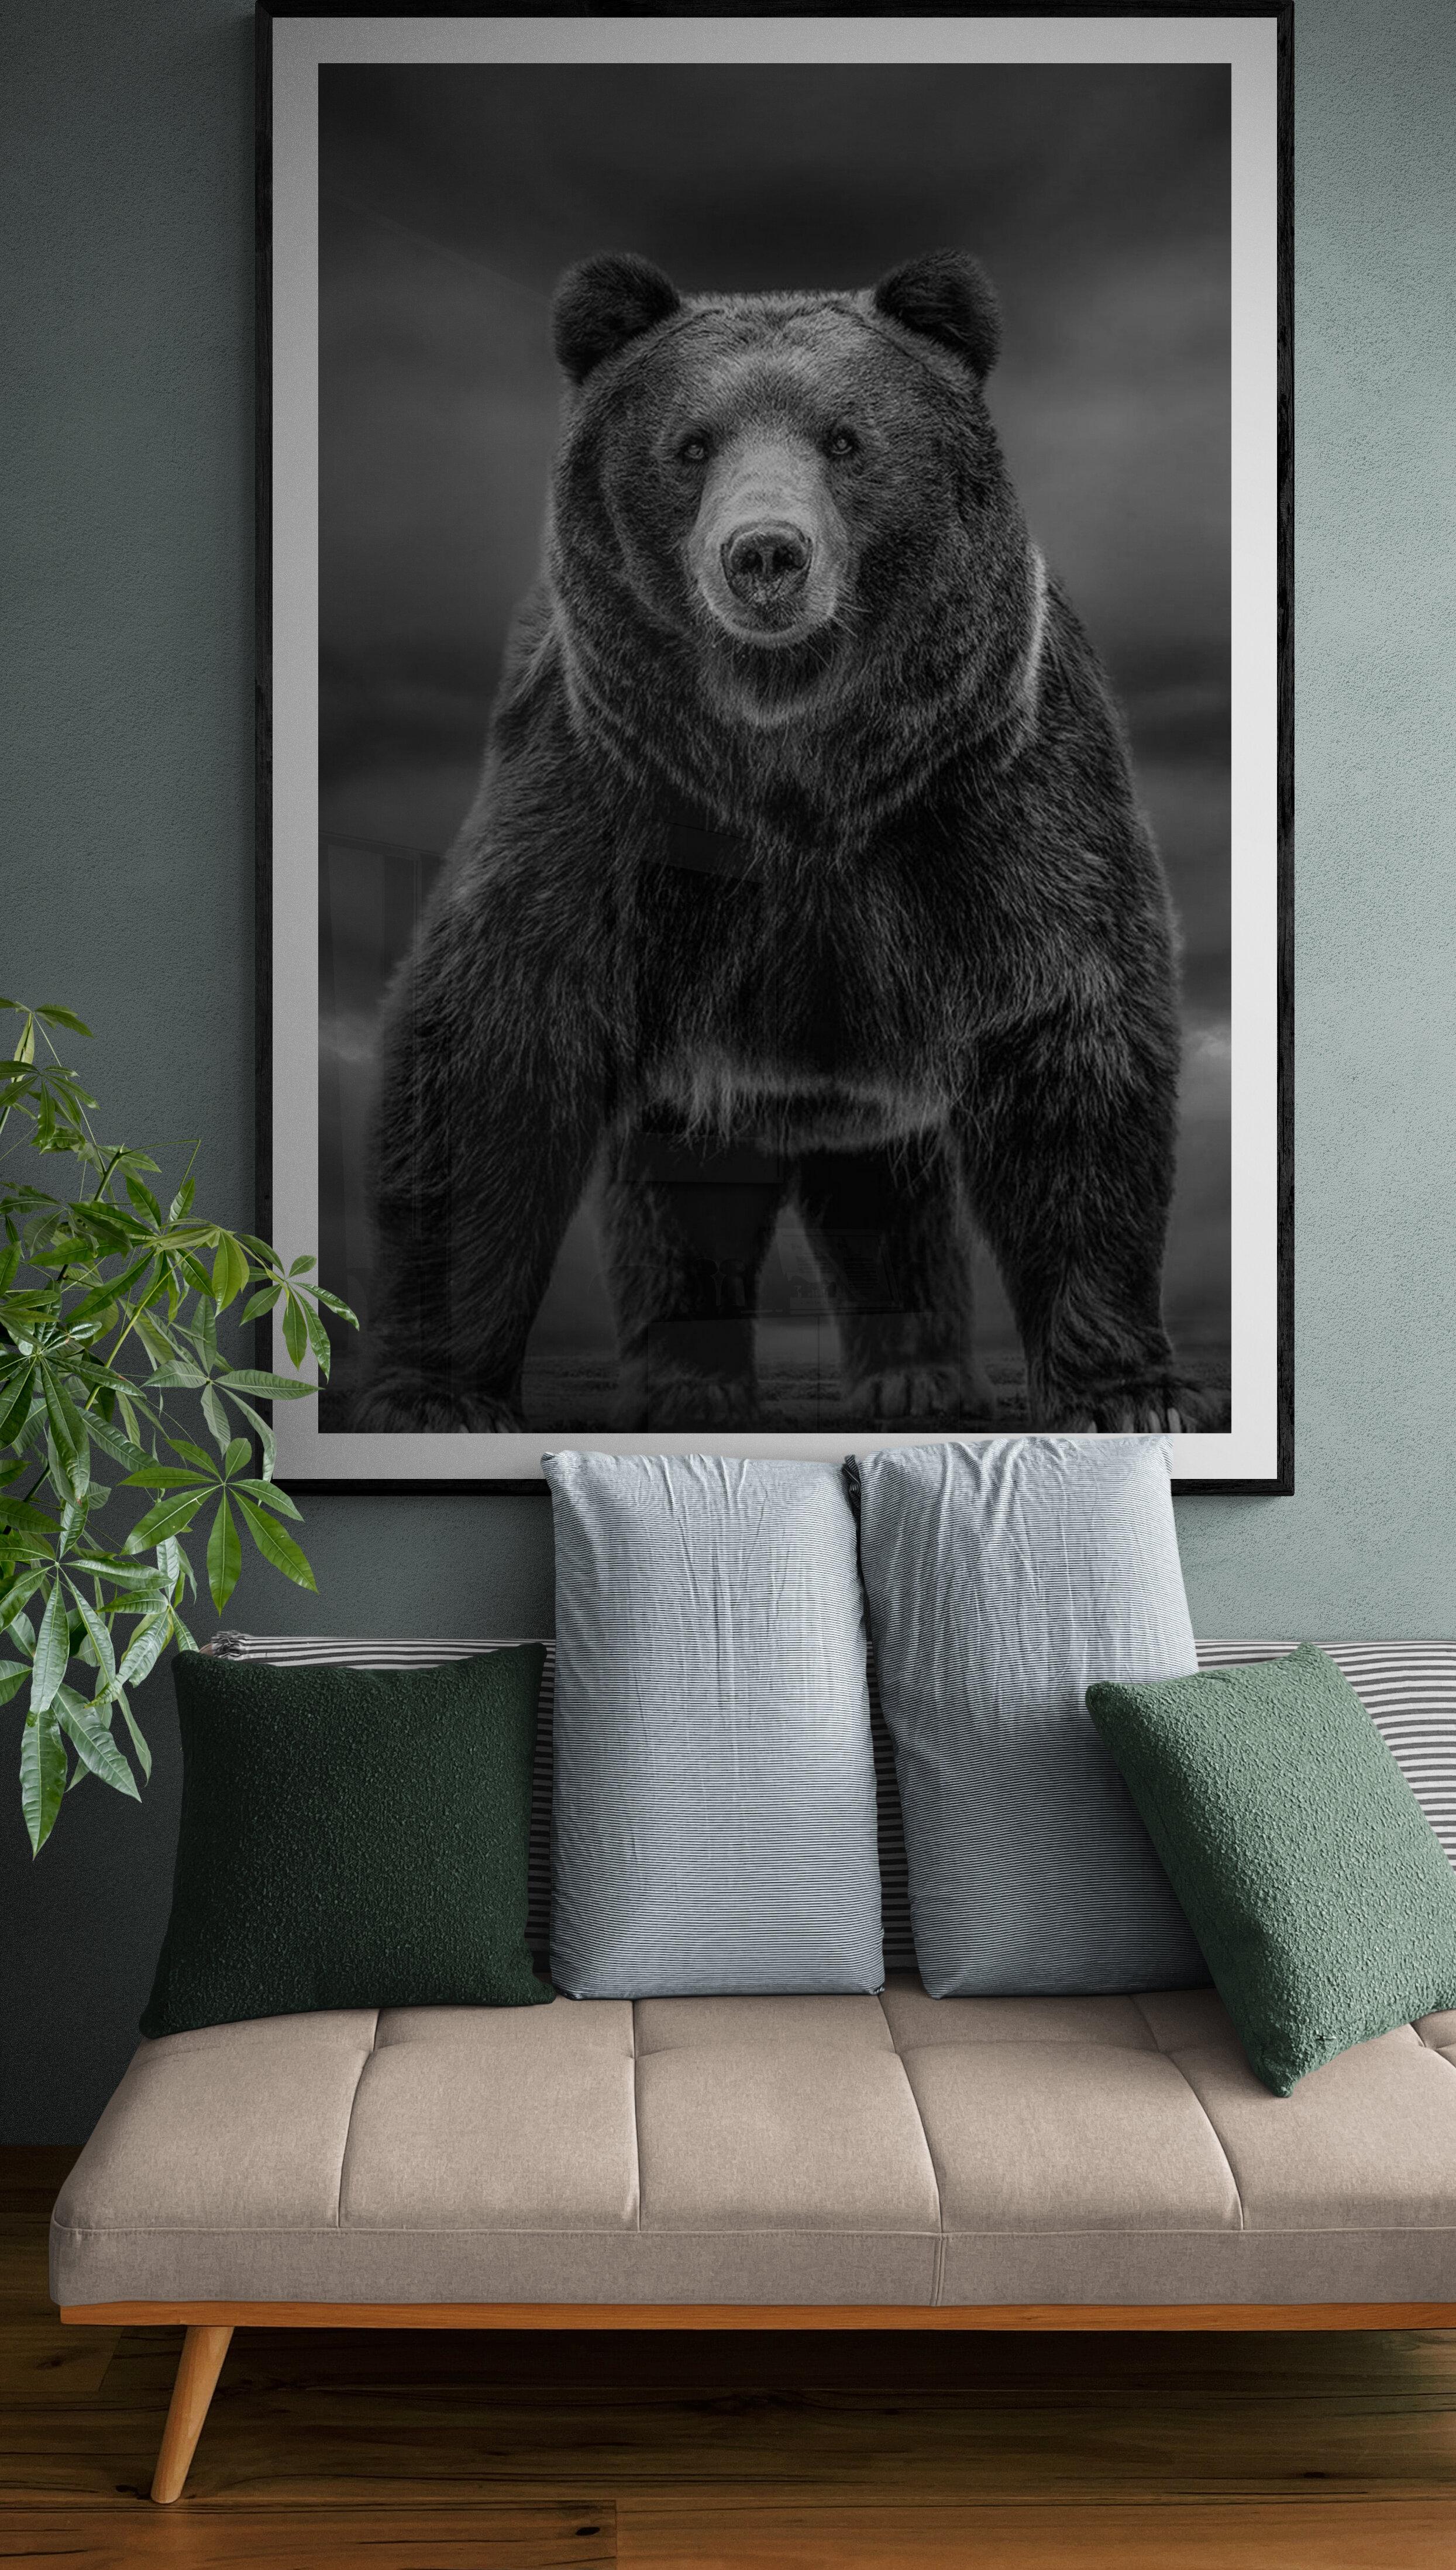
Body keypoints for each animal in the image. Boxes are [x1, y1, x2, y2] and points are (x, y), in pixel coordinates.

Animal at [356, 248, 1206, 1436]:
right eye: (690, 444)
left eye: (845, 439)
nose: (764, 553)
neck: (795, 767)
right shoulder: (609, 798)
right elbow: (495, 1044)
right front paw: (438, 1400)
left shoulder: (990, 798)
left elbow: (1067, 1041)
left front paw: (1129, 1397)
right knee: (683, 1197)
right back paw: (690, 1390)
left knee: (880, 1191)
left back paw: (917, 1378)